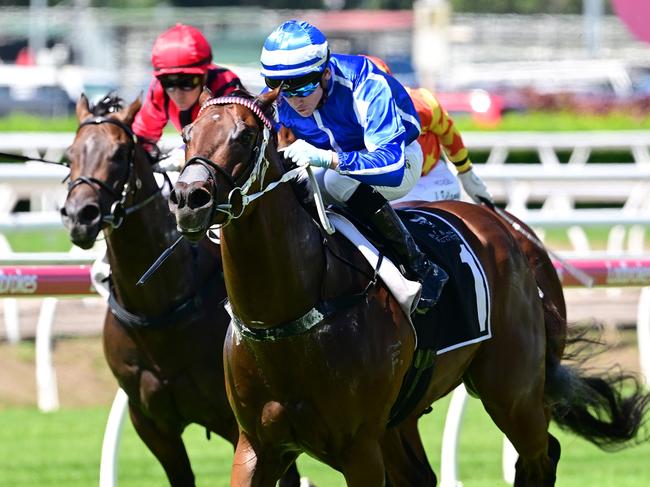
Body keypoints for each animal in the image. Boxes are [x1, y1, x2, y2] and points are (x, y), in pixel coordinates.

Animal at [60, 93, 304, 486]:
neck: (159, 307)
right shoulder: (152, 423)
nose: (80, 215)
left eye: (119, 154)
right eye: (70, 154)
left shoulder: (240, 423)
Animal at [168, 88, 648, 487]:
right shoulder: (257, 445)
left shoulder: (358, 448)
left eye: (246, 136)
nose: (189, 198)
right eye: (187, 133)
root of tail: (505, 226)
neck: (290, 316)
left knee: (540, 456)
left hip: (511, 389)